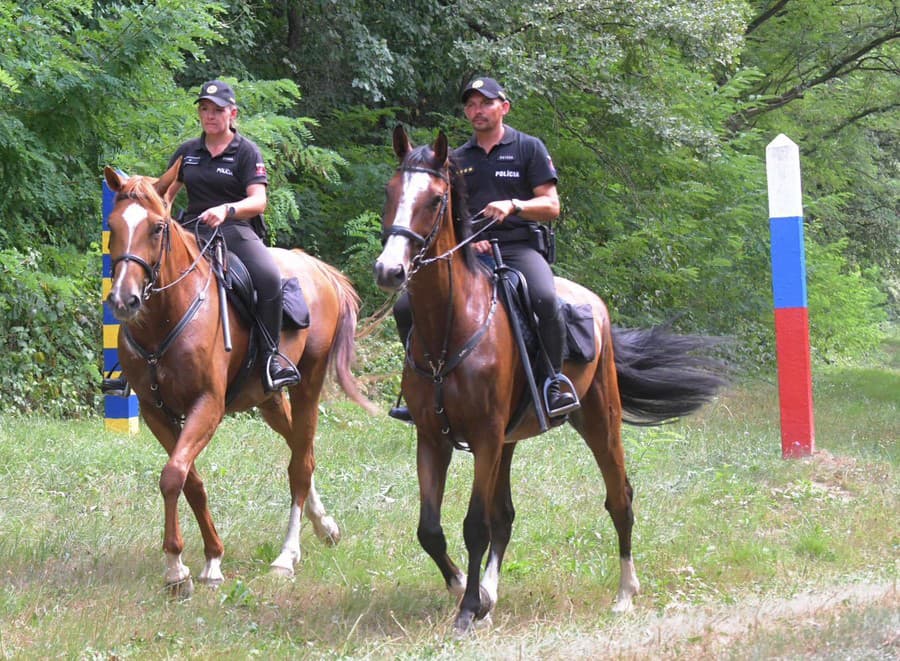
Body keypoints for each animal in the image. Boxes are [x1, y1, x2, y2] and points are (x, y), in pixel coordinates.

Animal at [104, 160, 376, 592]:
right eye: (112, 226)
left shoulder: (208, 406)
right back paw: (324, 526)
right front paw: (207, 559)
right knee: (302, 451)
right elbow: (189, 481)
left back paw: (287, 555)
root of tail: (315, 268)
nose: (123, 300)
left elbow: (173, 475)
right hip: (269, 400)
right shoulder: (154, 411)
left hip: (308, 387)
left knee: (299, 467)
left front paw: (178, 566)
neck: (167, 317)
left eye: (158, 227)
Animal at [376, 125, 728, 636]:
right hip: (508, 442)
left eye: (436, 198)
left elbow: (474, 526)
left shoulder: (484, 437)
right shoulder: (433, 437)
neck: (450, 328)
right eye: (390, 191)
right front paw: (466, 589)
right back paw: (492, 593)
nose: (390, 270)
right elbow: (431, 529)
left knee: (619, 498)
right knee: (505, 516)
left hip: (598, 420)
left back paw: (625, 593)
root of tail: (594, 303)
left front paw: (467, 608)